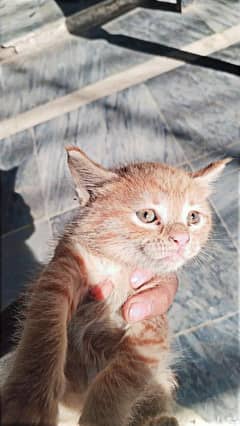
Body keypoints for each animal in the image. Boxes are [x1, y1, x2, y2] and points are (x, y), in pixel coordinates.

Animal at [1, 147, 231, 426]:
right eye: (147, 216)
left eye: (193, 217)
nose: (183, 238)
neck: (119, 267)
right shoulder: (59, 273)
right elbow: (43, 332)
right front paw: (30, 398)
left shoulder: (150, 332)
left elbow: (120, 377)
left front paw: (101, 415)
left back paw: (162, 419)